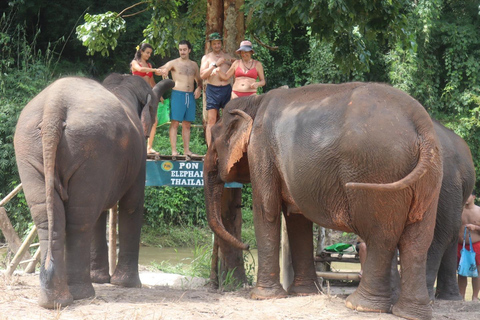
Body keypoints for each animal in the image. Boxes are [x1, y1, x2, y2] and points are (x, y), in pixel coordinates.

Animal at [13, 74, 176, 308]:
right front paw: (126, 285)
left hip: (30, 148)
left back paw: (55, 300)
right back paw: (82, 294)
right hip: (90, 148)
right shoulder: (137, 157)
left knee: (48, 217)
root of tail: (54, 105)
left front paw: (103, 280)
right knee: (80, 220)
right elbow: (132, 204)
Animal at [204, 83, 444, 320]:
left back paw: (361, 306)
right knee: (417, 241)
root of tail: (421, 124)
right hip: (428, 178)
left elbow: (267, 210)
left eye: (213, 142)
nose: (246, 245)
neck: (254, 101)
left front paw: (262, 297)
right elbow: (297, 218)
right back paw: (409, 313)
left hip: (378, 171)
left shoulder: (261, 149)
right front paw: (304, 293)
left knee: (380, 237)